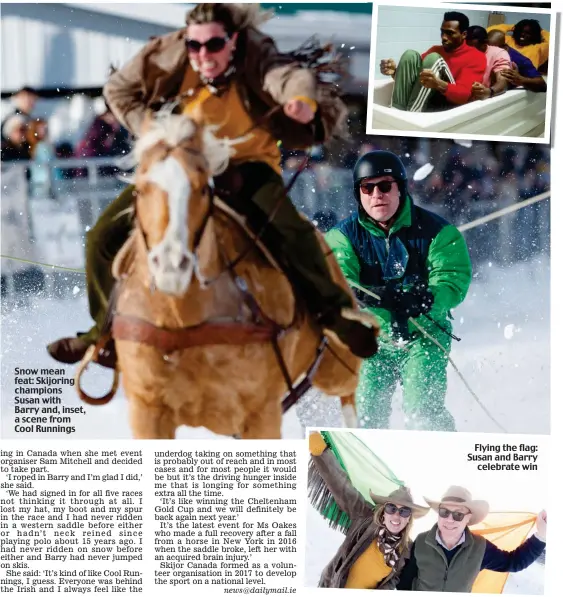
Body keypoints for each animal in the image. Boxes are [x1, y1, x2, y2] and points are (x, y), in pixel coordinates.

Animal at [76, 113, 378, 438]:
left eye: (201, 189)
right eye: (140, 190)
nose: (171, 264)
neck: (182, 319)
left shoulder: (260, 414)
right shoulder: (147, 411)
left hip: (336, 367)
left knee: (348, 396)